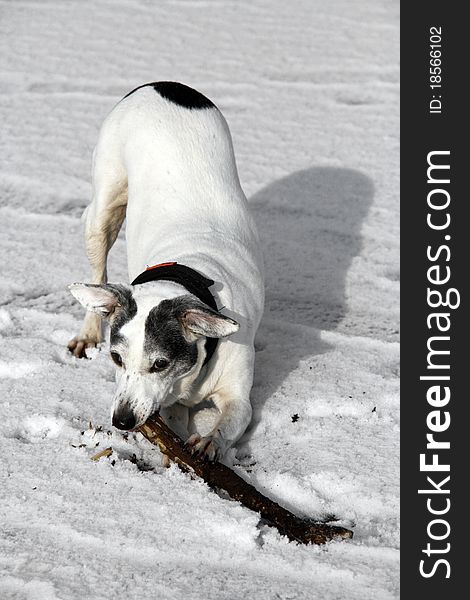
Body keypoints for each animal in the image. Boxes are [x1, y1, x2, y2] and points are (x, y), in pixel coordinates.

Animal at [67, 83, 264, 460]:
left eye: (159, 364)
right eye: (115, 358)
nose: (123, 421)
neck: (189, 271)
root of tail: (163, 84)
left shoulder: (238, 395)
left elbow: (232, 417)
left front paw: (209, 440)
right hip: (104, 205)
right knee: (98, 268)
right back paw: (88, 332)